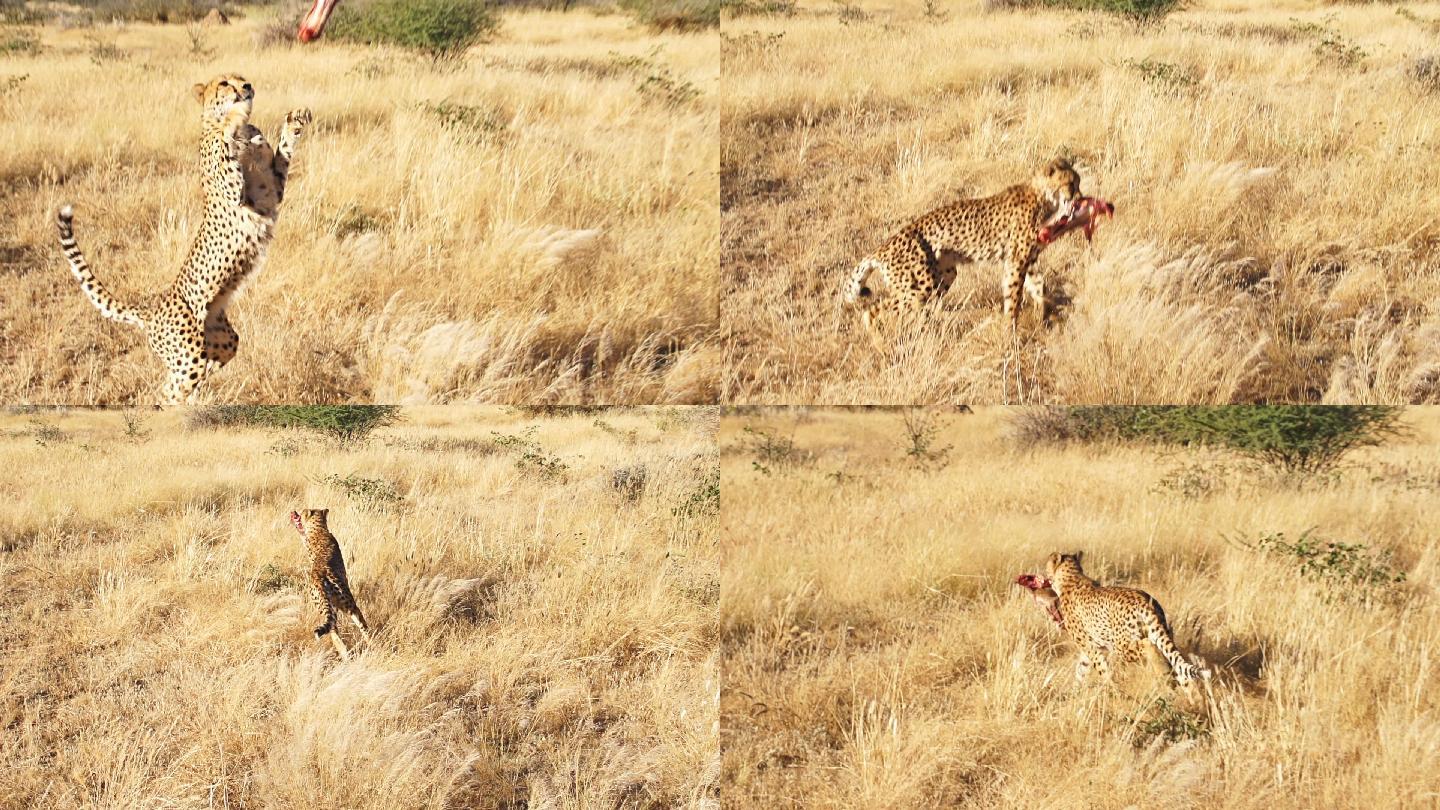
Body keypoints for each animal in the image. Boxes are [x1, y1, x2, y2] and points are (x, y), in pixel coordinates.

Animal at [59, 73, 315, 403]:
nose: (246, 87)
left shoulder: (271, 192)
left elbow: (283, 153)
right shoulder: (237, 190)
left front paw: (295, 122)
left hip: (222, 340)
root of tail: (153, 306)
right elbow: (227, 140)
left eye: (242, 78)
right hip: (187, 354)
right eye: (224, 83)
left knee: (198, 372)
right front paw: (235, 113)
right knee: (167, 391)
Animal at [289, 507, 371, 660]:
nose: (295, 513)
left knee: (335, 634)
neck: (319, 528)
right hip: (348, 604)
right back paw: (373, 643)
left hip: (327, 609)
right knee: (362, 626)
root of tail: (319, 578)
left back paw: (346, 656)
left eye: (302, 511)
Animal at [840, 157, 1082, 337]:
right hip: (919, 287)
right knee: (871, 311)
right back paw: (881, 346)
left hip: (943, 275)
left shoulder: (1026, 261)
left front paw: (1045, 316)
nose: (1080, 198)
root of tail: (882, 248)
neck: (1043, 197)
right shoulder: (1016, 261)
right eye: (1070, 184)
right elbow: (1013, 297)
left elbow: (1038, 287)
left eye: (1077, 183)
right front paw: (1010, 330)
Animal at [1042, 547, 1209, 686]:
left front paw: (1110, 688)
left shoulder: (1090, 646)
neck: (1072, 578)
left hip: (1121, 644)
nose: (1043, 576)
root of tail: (1145, 600)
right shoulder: (1093, 646)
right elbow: (1081, 668)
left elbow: (1101, 668)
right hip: (1160, 632)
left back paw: (1162, 670)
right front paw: (1077, 689)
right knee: (1170, 655)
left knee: (1148, 645)